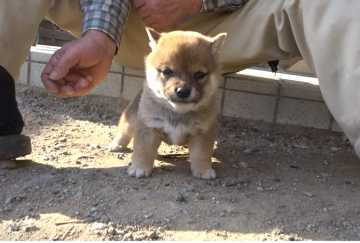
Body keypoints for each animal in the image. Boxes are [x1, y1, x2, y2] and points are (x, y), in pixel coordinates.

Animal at [109, 27, 225, 179]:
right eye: (167, 72)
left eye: (199, 74)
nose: (183, 91)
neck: (178, 113)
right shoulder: (149, 127)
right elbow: (143, 150)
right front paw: (140, 167)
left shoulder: (203, 131)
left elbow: (202, 154)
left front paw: (203, 169)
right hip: (132, 117)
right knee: (125, 130)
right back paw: (117, 144)